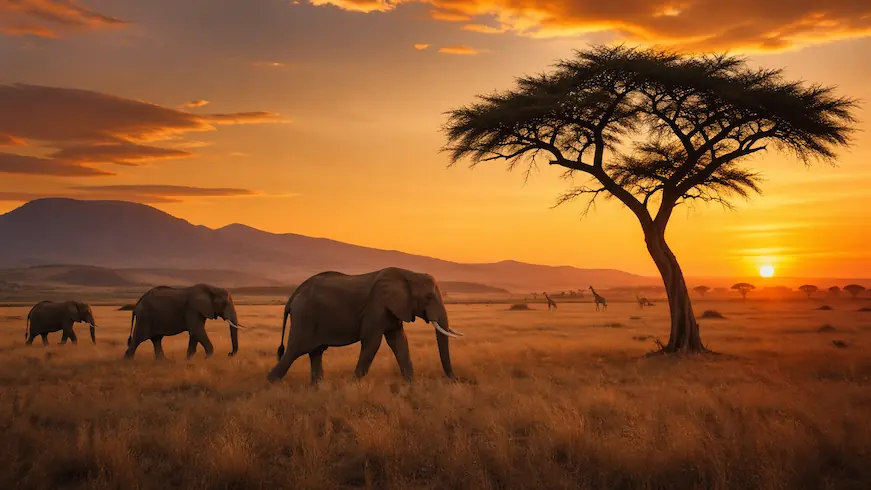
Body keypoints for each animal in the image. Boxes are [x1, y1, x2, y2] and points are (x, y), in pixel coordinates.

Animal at [266, 267, 464, 384]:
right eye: (428, 297)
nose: (455, 380)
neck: (407, 274)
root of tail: (294, 295)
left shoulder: (393, 309)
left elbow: (399, 341)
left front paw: (410, 385)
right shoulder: (376, 307)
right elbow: (372, 342)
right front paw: (353, 385)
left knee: (316, 352)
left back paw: (317, 387)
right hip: (304, 317)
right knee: (294, 351)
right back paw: (271, 385)